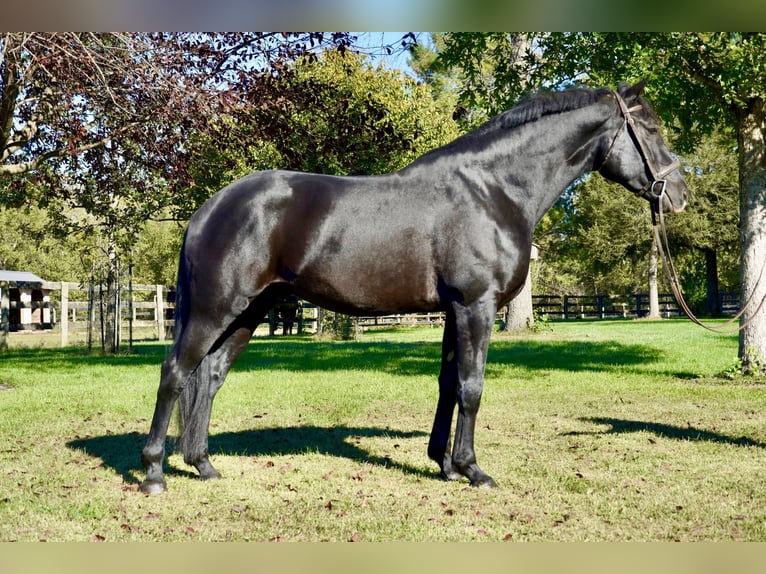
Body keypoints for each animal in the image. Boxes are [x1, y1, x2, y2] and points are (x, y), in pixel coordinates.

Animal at [140, 80, 688, 494]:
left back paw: (203, 464)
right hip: (214, 308)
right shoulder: (476, 306)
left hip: (249, 311)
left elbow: (449, 384)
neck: (492, 189)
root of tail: (209, 209)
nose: (679, 194)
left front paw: (444, 464)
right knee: (175, 373)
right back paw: (153, 473)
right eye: (651, 128)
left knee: (209, 376)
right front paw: (473, 469)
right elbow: (472, 386)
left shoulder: (453, 311)